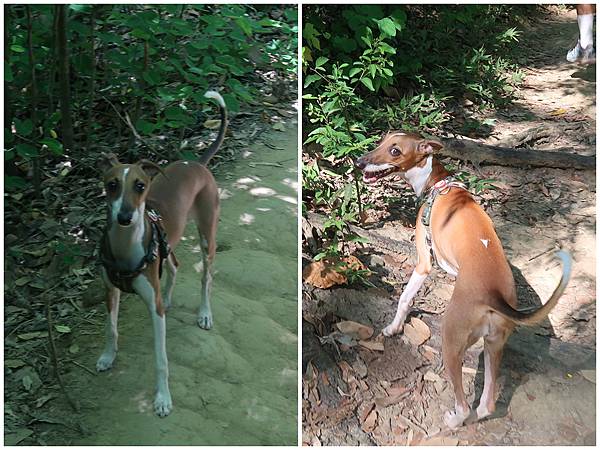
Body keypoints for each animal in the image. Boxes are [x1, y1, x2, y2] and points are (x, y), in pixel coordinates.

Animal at [96, 89, 227, 416]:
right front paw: (107, 356)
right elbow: (110, 328)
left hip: (207, 236)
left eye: (140, 185)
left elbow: (161, 361)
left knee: (206, 277)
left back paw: (204, 314)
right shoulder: (110, 290)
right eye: (112, 185)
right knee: (175, 266)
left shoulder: (153, 312)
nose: (125, 217)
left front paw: (163, 399)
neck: (125, 247)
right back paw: (168, 298)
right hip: (167, 245)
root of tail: (197, 163)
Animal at [356, 131, 572, 428]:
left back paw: (453, 420)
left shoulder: (424, 262)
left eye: (395, 151)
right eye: (382, 142)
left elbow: (405, 298)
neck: (436, 182)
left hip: (451, 343)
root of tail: (494, 295)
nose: (359, 162)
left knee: (463, 403)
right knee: (487, 404)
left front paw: (393, 328)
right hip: (493, 345)